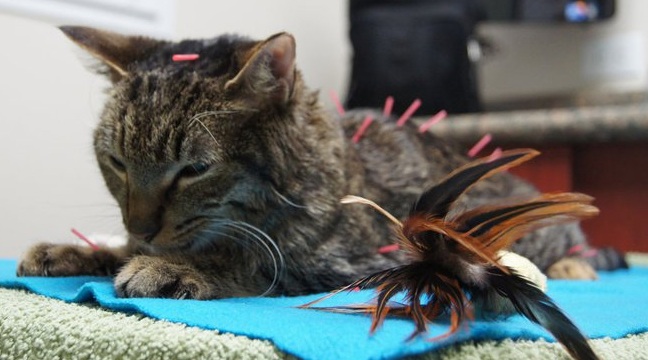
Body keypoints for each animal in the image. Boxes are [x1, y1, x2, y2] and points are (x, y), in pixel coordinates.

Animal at [17, 27, 624, 298]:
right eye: (116, 162)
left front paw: (173, 268)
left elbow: (258, 265)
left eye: (193, 170)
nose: (140, 224)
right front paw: (80, 251)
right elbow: (120, 249)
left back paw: (575, 264)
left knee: (569, 235)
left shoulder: (352, 262)